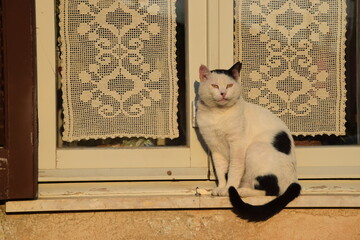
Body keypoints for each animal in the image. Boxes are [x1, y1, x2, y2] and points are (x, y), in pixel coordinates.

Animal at [197, 62, 300, 221]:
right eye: (214, 85)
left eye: (229, 85)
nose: (223, 93)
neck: (217, 114)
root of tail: (294, 180)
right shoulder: (215, 148)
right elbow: (220, 171)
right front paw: (221, 187)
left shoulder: (237, 146)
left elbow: (234, 170)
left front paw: (228, 189)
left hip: (255, 149)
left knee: (271, 191)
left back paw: (241, 191)